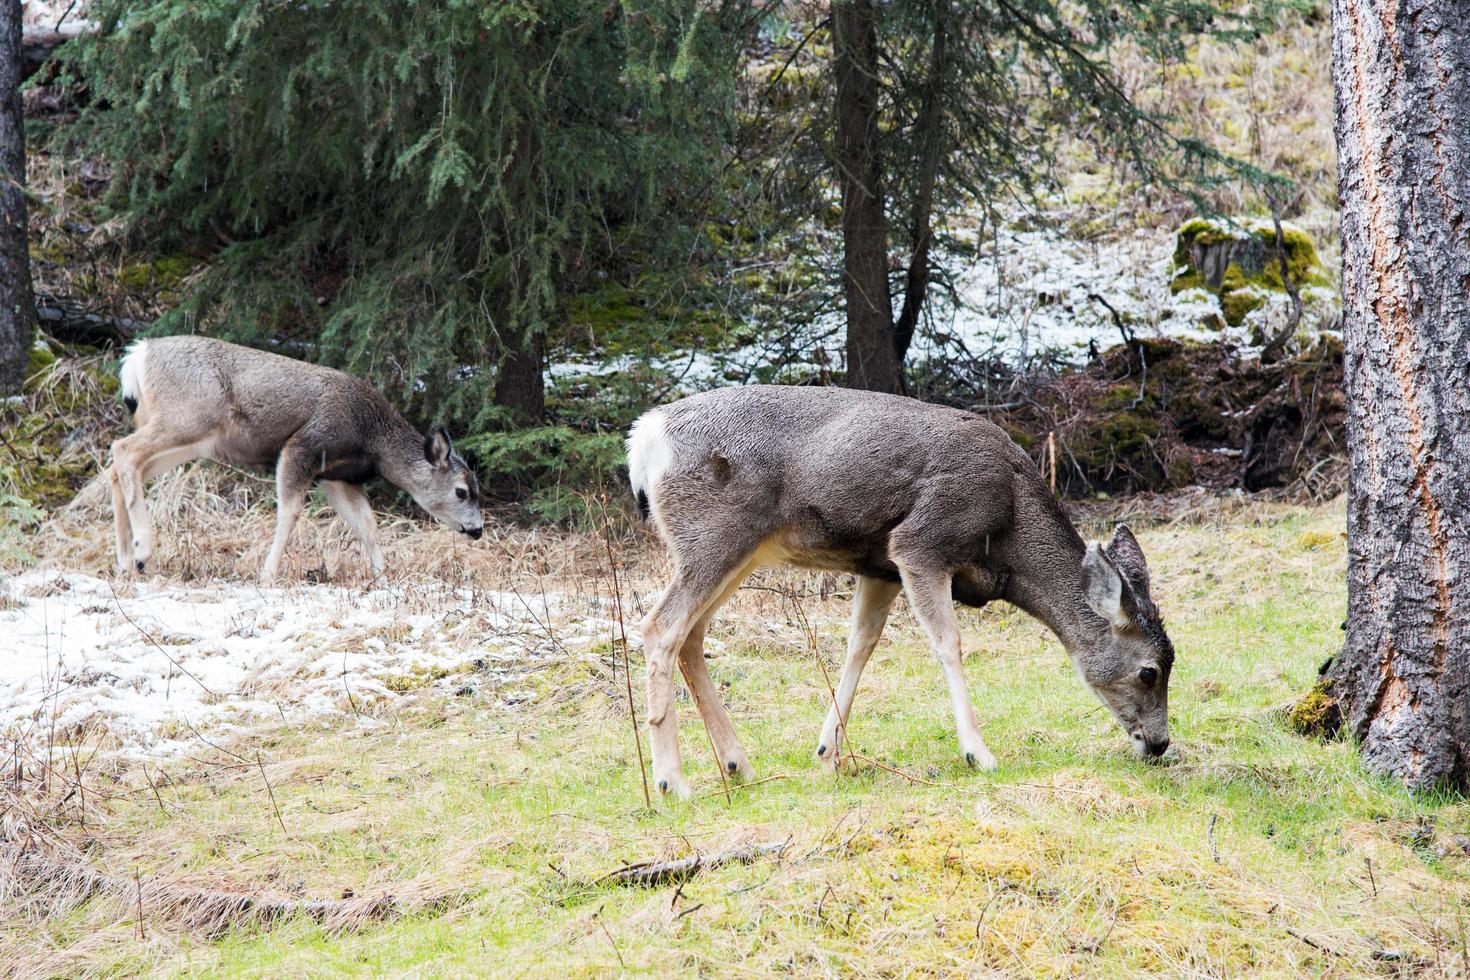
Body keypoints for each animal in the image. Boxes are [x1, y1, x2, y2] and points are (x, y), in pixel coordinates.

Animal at [111, 337, 488, 581]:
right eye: (461, 491)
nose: (478, 530)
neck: (372, 439)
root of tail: (137, 356)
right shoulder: (302, 447)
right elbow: (290, 513)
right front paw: (268, 573)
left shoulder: (337, 476)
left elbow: (367, 525)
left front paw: (382, 577)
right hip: (187, 417)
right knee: (122, 449)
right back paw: (142, 550)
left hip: (190, 438)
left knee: (122, 468)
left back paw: (127, 561)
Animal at [626, 382, 1176, 799]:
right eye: (1149, 671)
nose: (1159, 744)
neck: (1008, 536)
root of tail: (643, 439)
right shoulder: (919, 543)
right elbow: (948, 642)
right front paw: (978, 752)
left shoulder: (880, 566)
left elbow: (860, 645)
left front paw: (827, 752)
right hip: (714, 536)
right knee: (659, 627)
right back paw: (673, 782)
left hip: (738, 551)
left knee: (691, 636)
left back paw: (737, 764)